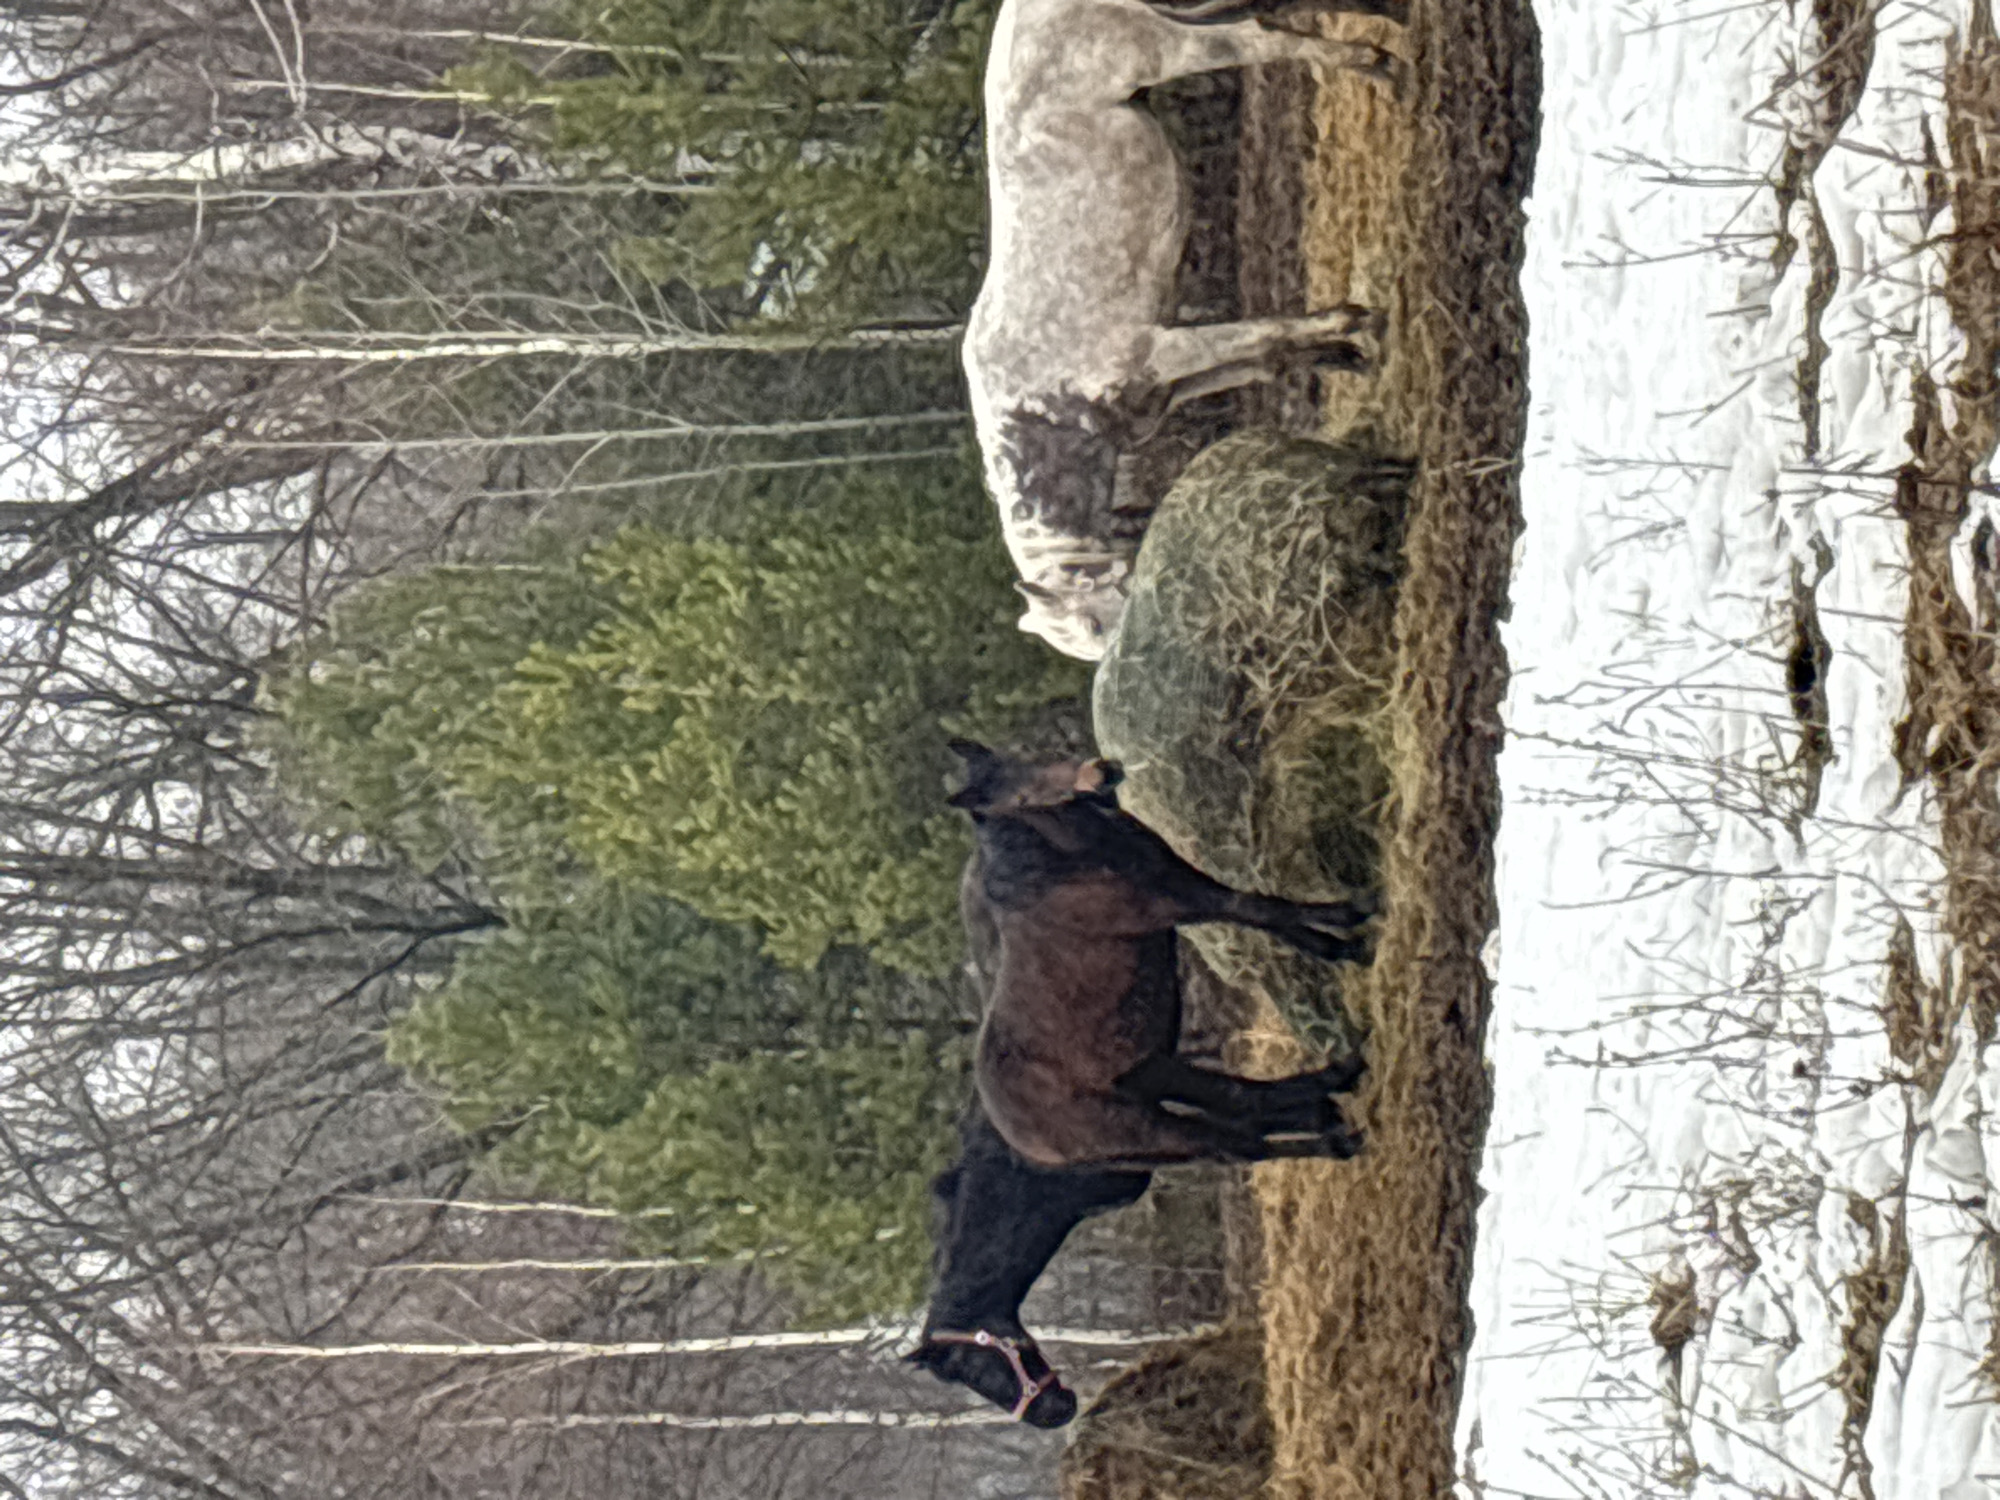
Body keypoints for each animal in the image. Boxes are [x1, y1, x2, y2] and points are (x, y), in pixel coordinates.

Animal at [947, 739, 1371, 1169]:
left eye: (1030, 755)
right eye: (1020, 798)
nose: (1101, 773)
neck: (1058, 868)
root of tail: (1021, 1142)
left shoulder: (1180, 878)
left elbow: (1262, 912)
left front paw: (1339, 939)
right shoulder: (1169, 903)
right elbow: (1258, 909)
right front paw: (1353, 923)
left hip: (1154, 1072)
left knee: (1241, 1103)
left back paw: (1338, 1084)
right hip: (1147, 1125)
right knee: (1238, 1144)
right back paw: (1338, 1140)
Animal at [966, 0, 1408, 659]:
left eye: (1093, 623)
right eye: (1085, 639)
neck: (1043, 404)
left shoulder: (1162, 351)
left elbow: (1263, 335)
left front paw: (1354, 324)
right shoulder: (1168, 386)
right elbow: (1270, 355)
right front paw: (1341, 353)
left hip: (1168, 47)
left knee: (1257, 39)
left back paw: (1373, 64)